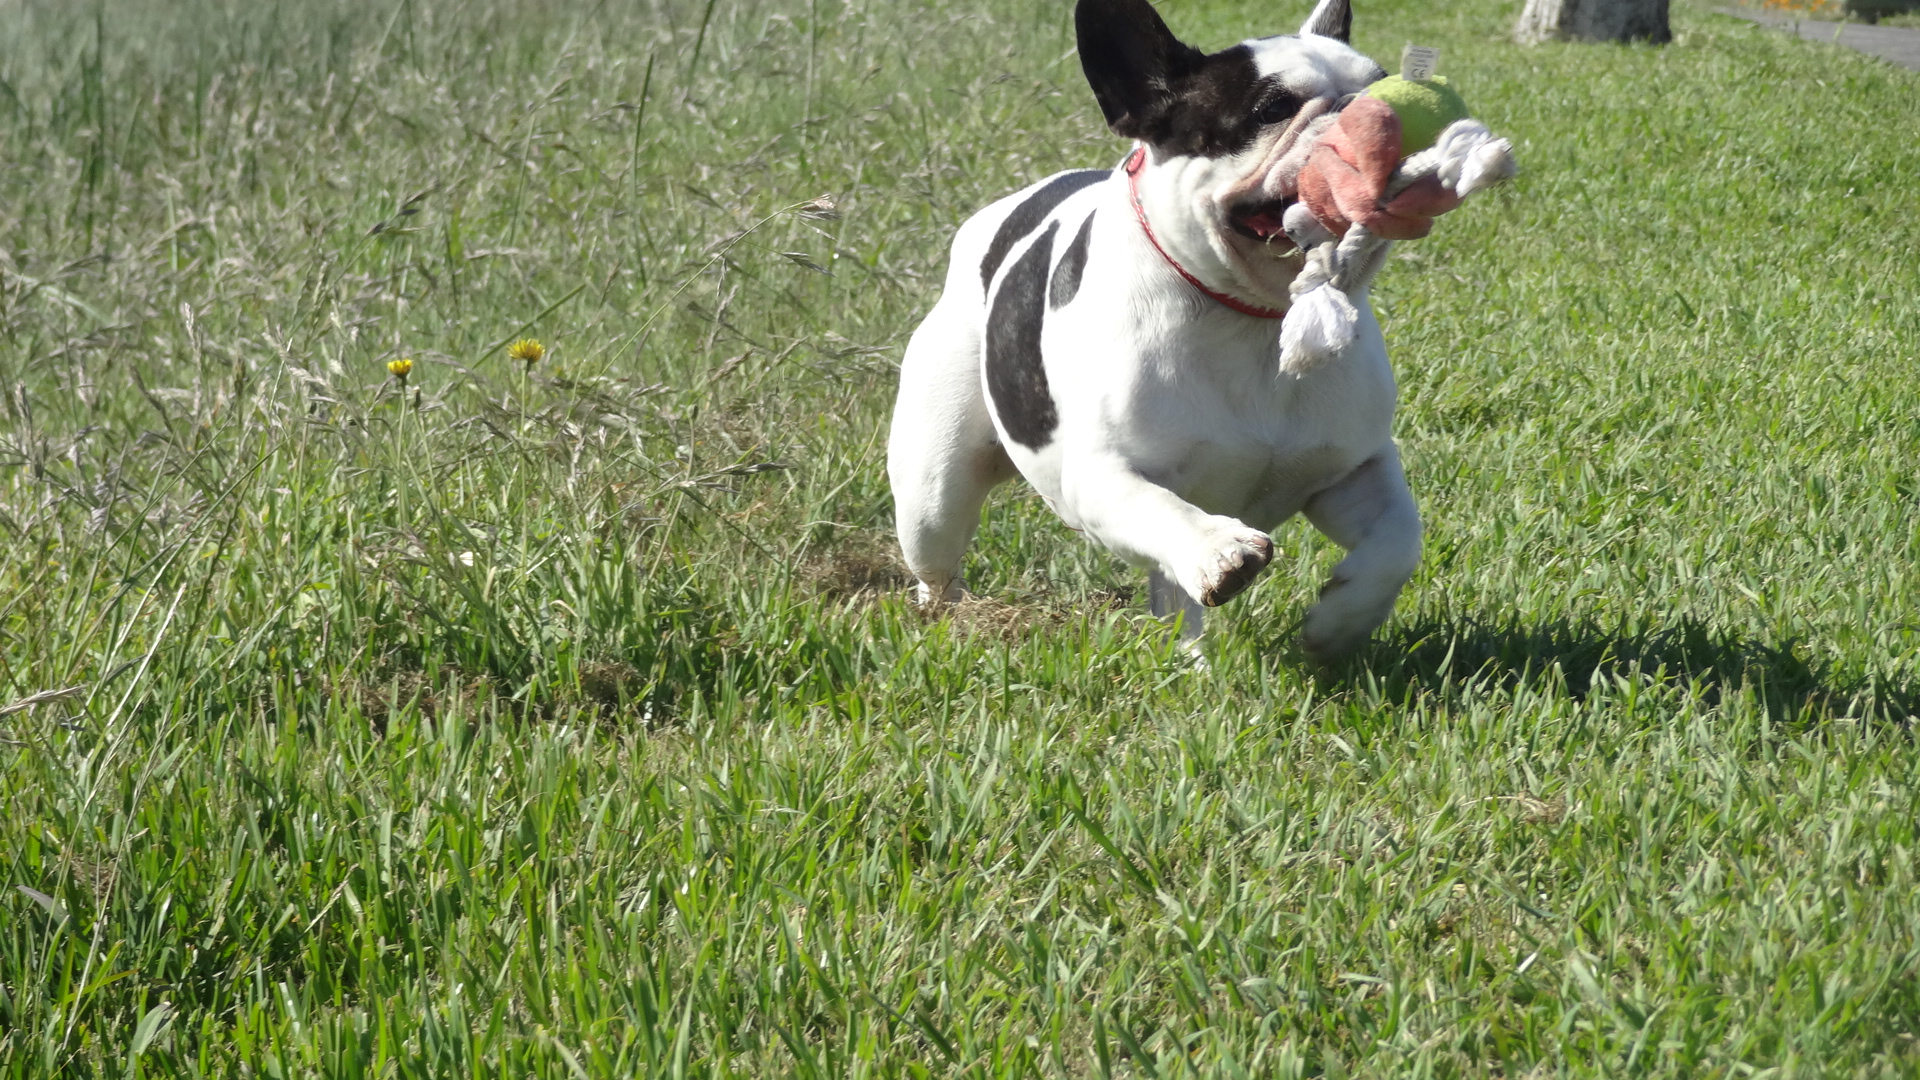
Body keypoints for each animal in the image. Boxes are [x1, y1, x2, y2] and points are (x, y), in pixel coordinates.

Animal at [883, 0, 1497, 657]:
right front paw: (1218, 549)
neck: (1255, 316)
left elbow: (1399, 540)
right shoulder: (1102, 476)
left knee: (1174, 599)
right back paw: (948, 622)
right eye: (1270, 109)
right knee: (937, 560)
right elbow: (1160, 509)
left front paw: (1339, 624)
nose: (1364, 107)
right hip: (932, 487)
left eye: (1380, 79)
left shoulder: (1353, 468)